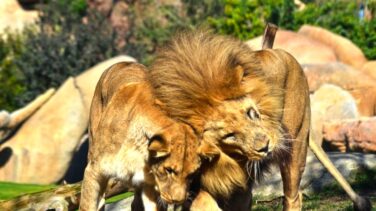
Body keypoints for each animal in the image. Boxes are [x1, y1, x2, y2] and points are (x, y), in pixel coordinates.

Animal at [79, 61, 214, 210]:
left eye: (192, 174)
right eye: (168, 170)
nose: (178, 200)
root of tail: (123, 62)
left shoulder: (149, 186)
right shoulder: (93, 171)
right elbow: (87, 205)